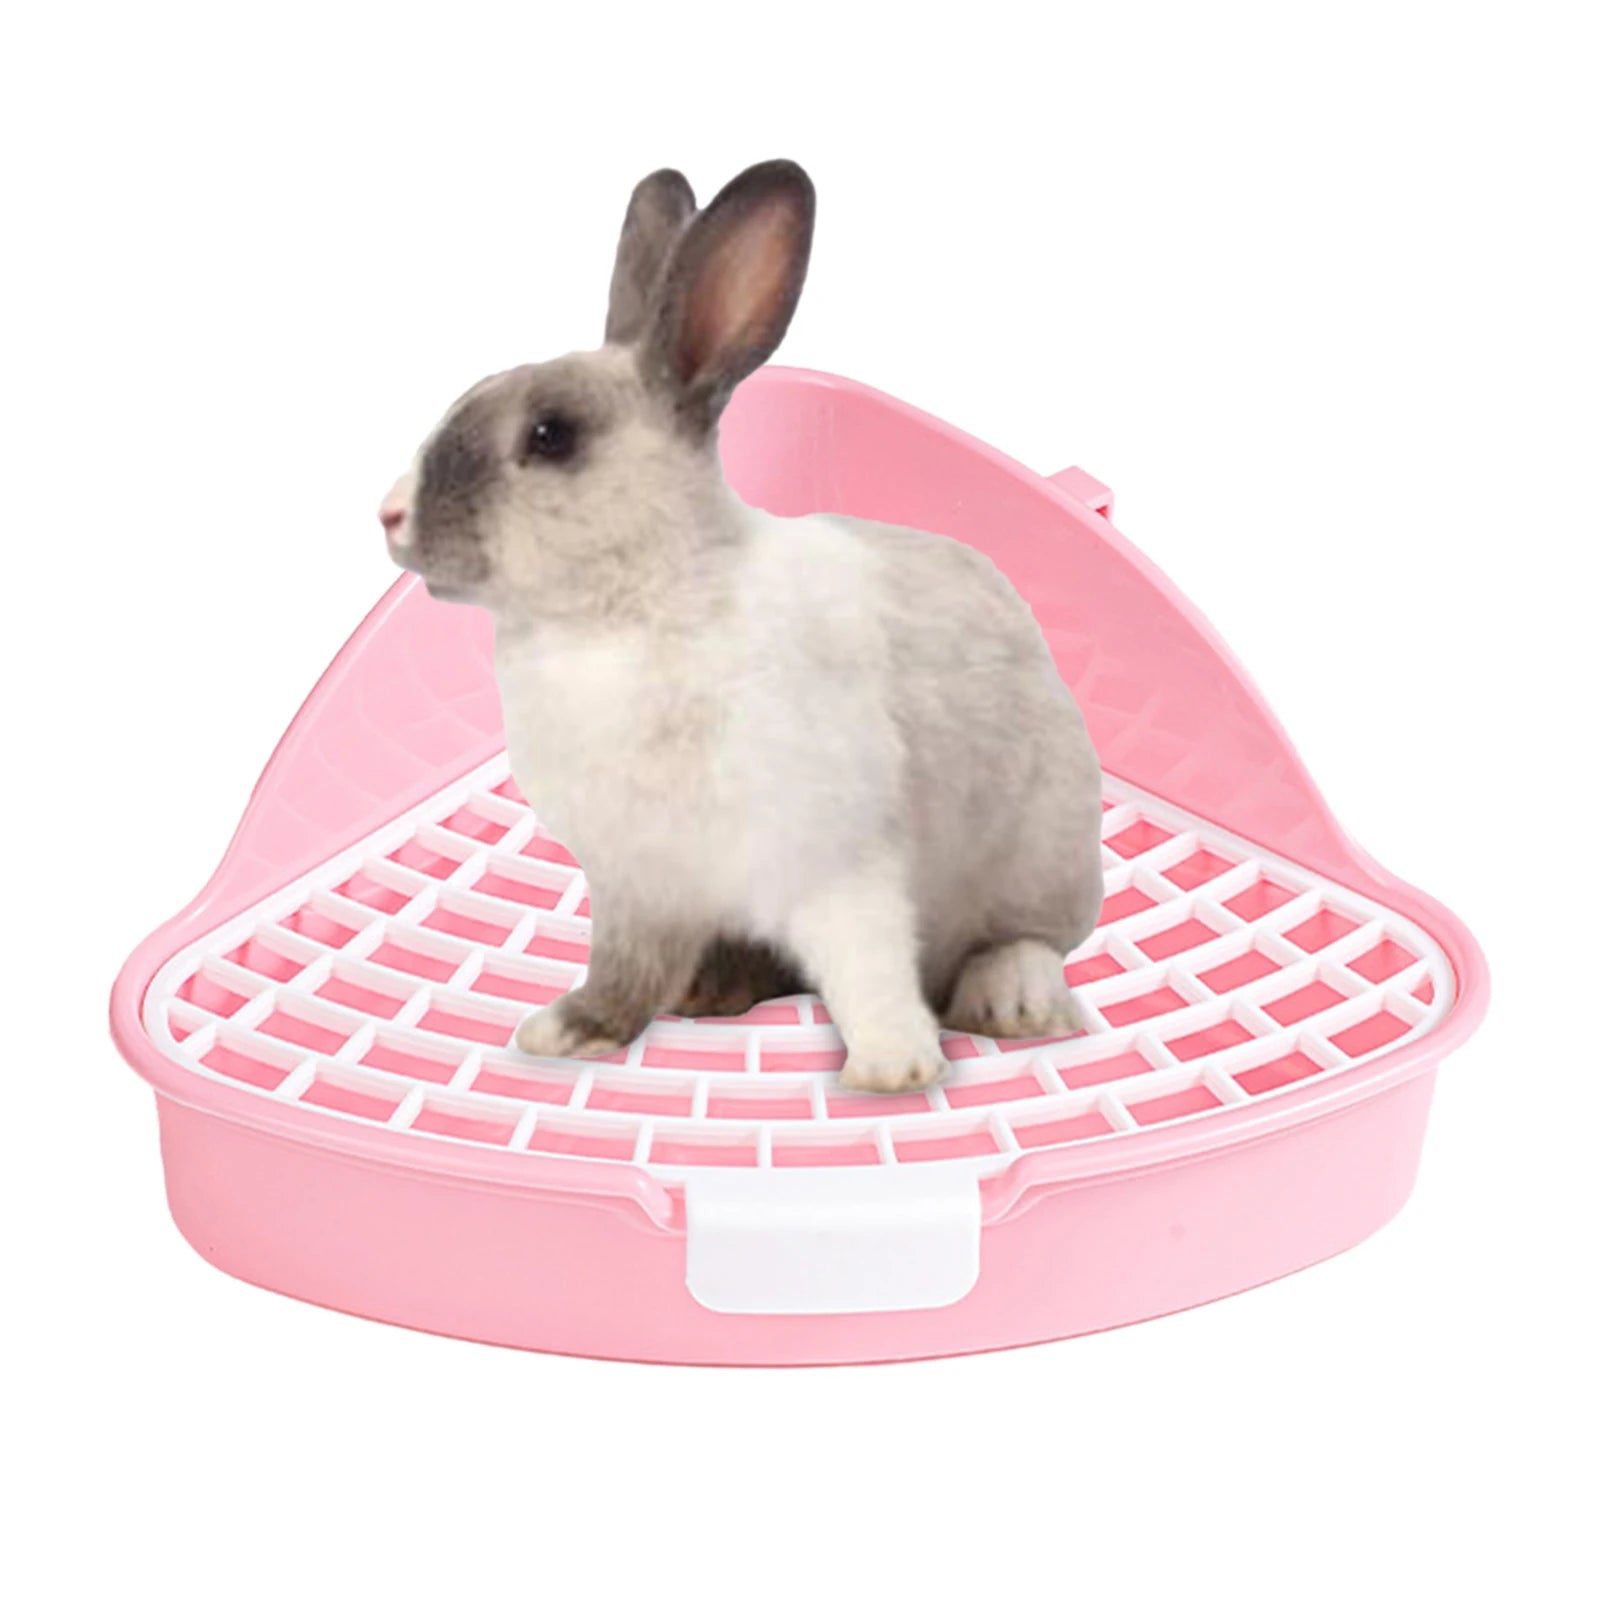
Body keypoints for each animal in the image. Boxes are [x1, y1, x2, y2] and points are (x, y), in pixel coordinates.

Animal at [378, 159, 1103, 1092]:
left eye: (550, 436)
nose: (389, 514)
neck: (627, 613)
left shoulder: (839, 860)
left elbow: (866, 964)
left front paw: (893, 1070)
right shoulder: (638, 883)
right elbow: (622, 970)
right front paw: (568, 1031)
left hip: (1041, 853)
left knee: (1026, 941)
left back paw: (1010, 1001)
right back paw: (714, 986)